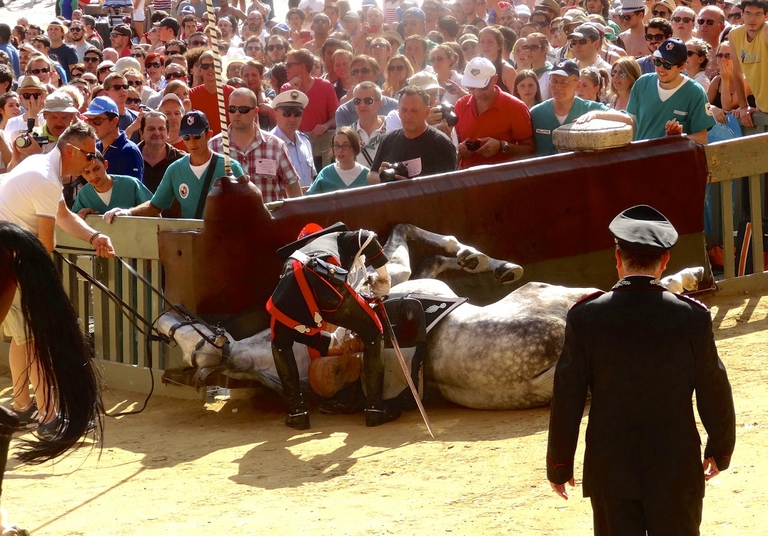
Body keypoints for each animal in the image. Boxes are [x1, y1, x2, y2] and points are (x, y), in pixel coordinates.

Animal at [156, 223, 705, 411]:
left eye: (191, 337)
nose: (163, 321)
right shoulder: (409, 280)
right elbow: (408, 235)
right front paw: (479, 258)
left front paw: (480, 260)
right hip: (555, 297)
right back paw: (690, 279)